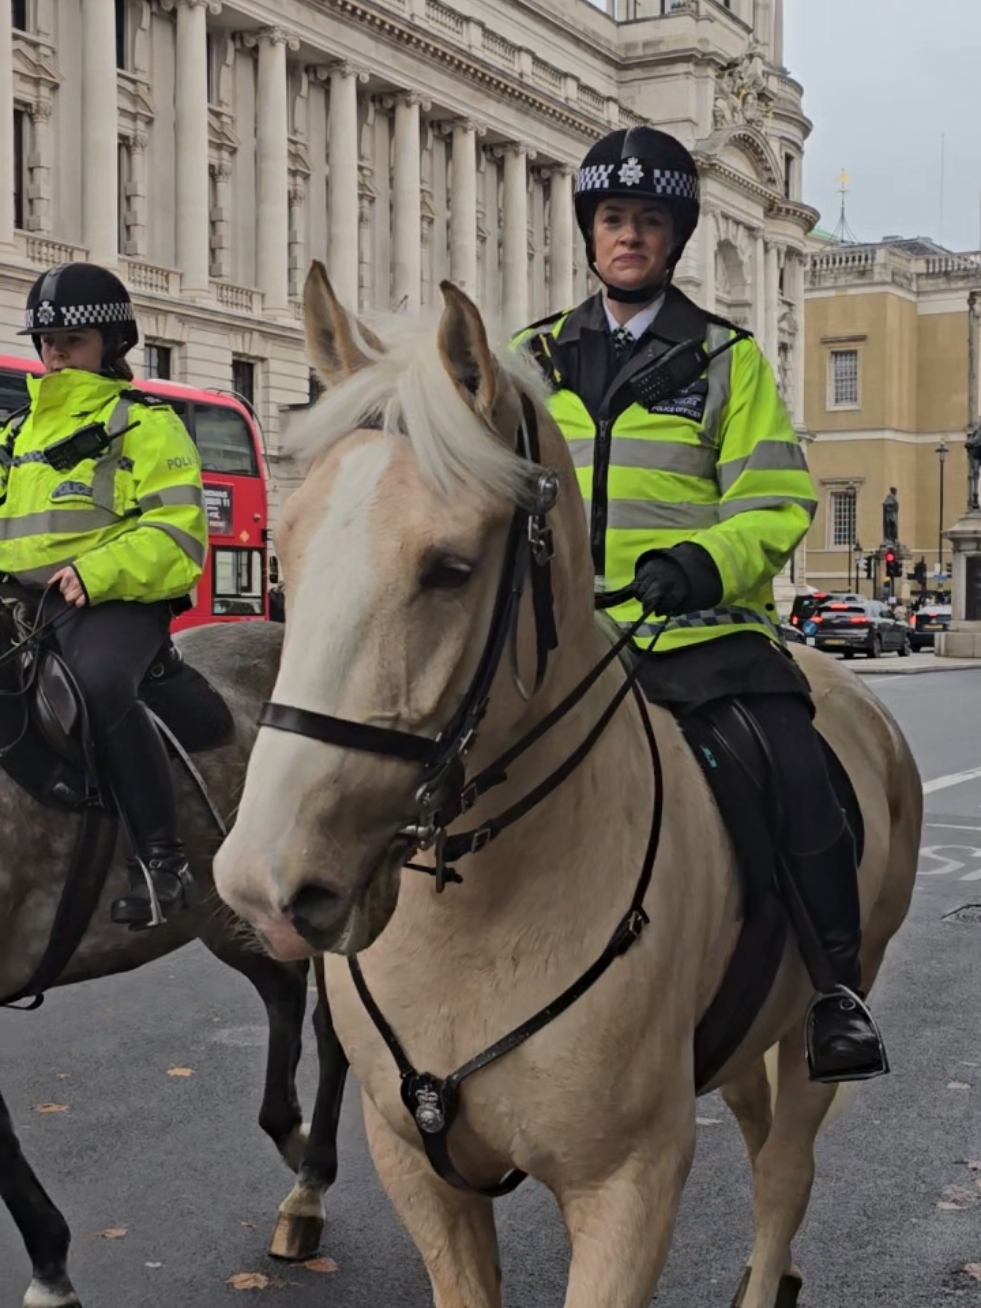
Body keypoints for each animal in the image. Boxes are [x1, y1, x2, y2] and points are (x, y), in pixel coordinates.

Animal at [0, 617, 350, 1302]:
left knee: (331, 1032)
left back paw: (309, 1189)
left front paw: (51, 1272)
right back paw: (288, 1135)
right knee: (282, 990)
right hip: (222, 910)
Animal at [213, 265, 920, 1308]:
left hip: (829, 1005)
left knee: (786, 1168)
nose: (264, 884)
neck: (475, 920)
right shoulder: (420, 1171)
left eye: (449, 568)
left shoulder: (626, 1186)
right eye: (287, 552)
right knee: (757, 1133)